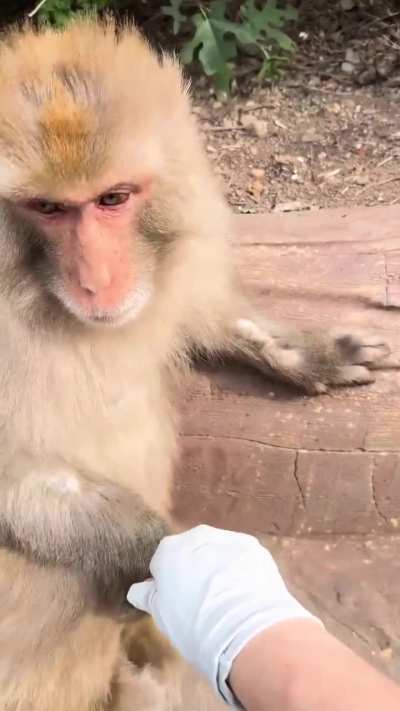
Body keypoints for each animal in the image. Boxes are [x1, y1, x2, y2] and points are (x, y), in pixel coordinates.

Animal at [0, 16, 394, 711]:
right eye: (48, 208)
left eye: (113, 198)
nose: (97, 281)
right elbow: (15, 476)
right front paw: (176, 561)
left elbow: (199, 306)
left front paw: (310, 353)